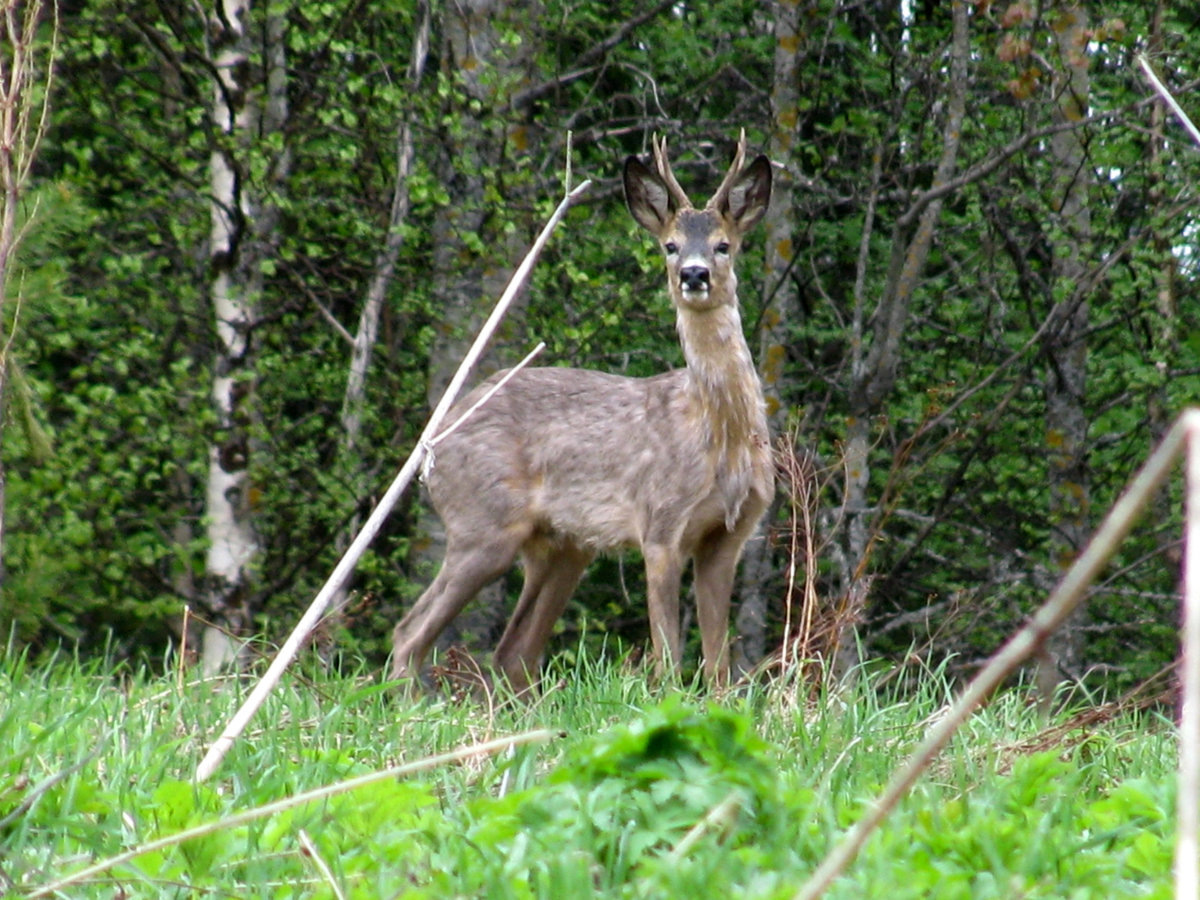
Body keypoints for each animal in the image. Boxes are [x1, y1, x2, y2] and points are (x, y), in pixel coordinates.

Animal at [388, 133, 772, 691]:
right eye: (670, 245)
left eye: (724, 244)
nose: (694, 274)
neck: (719, 435)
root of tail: (430, 447)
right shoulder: (660, 523)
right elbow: (668, 658)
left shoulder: (731, 534)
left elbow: (720, 665)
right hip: (483, 523)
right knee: (410, 633)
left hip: (563, 546)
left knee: (512, 652)